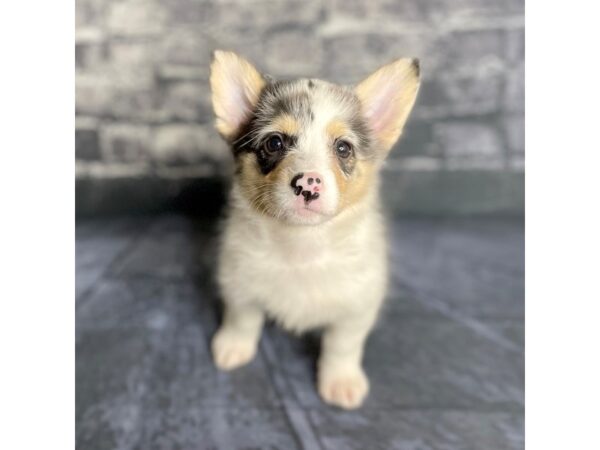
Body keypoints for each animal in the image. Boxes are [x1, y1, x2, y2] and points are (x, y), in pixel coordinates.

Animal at [209, 51, 420, 410]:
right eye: (275, 142)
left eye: (343, 148)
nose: (308, 183)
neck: (301, 245)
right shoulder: (239, 285)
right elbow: (243, 320)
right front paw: (233, 347)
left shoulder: (357, 308)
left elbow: (342, 347)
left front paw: (341, 383)